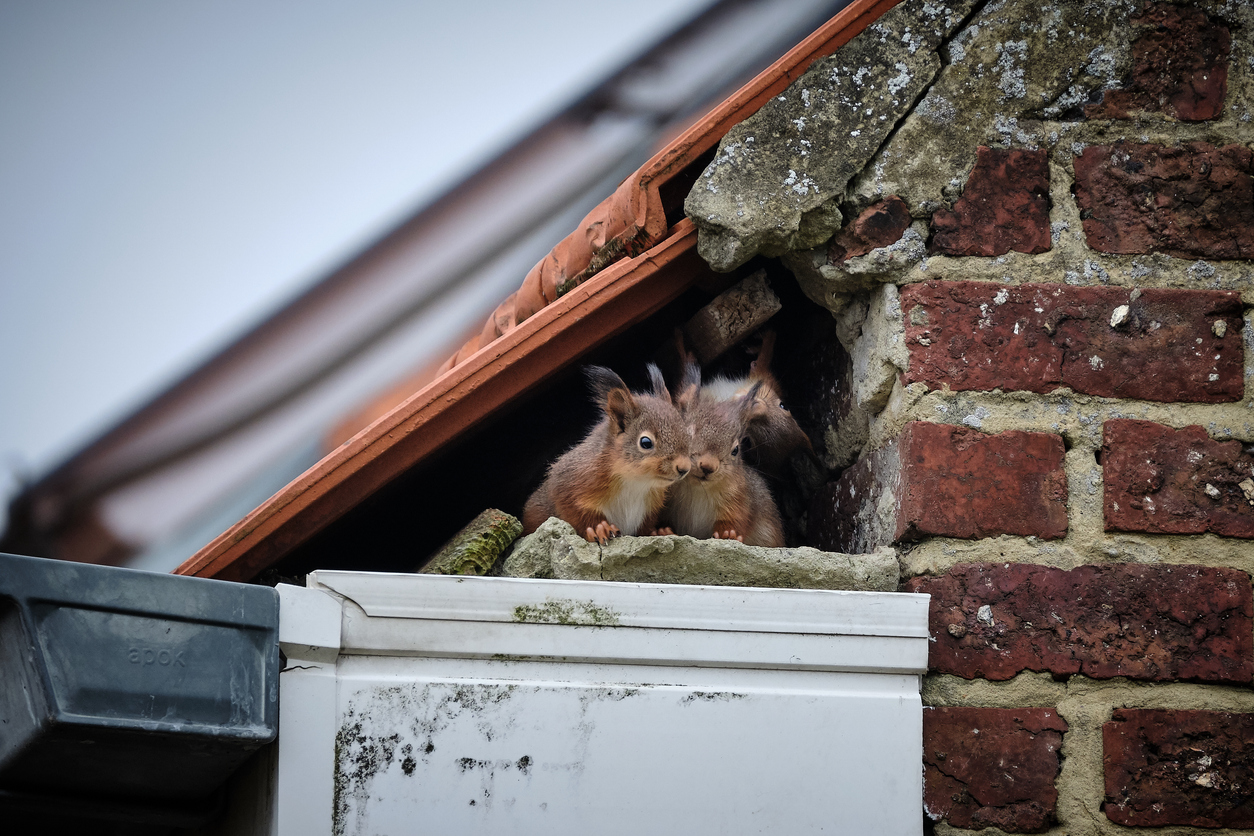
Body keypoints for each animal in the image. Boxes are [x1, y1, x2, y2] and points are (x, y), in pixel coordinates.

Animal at [521, 363, 697, 546]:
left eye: (687, 433)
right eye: (646, 443)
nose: (684, 468)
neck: (636, 482)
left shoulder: (650, 507)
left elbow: (645, 528)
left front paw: (659, 532)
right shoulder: (570, 481)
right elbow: (573, 511)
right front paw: (599, 528)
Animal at [662, 360, 777, 548]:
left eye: (736, 449)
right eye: (686, 433)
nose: (708, 467)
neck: (697, 488)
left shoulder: (738, 496)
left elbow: (736, 517)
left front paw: (727, 534)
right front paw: (661, 530)